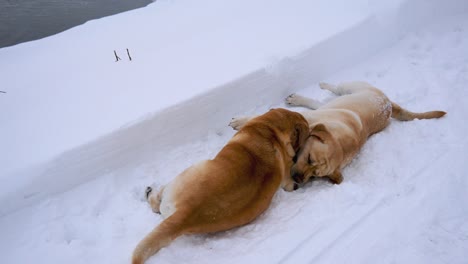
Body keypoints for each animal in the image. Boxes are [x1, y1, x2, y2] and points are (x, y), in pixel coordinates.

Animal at [230, 81, 446, 187]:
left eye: (315, 176)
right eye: (309, 157)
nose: (299, 179)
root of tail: (389, 103)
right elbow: (256, 118)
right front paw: (240, 121)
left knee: (316, 102)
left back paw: (300, 96)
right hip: (351, 88)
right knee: (336, 88)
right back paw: (323, 86)